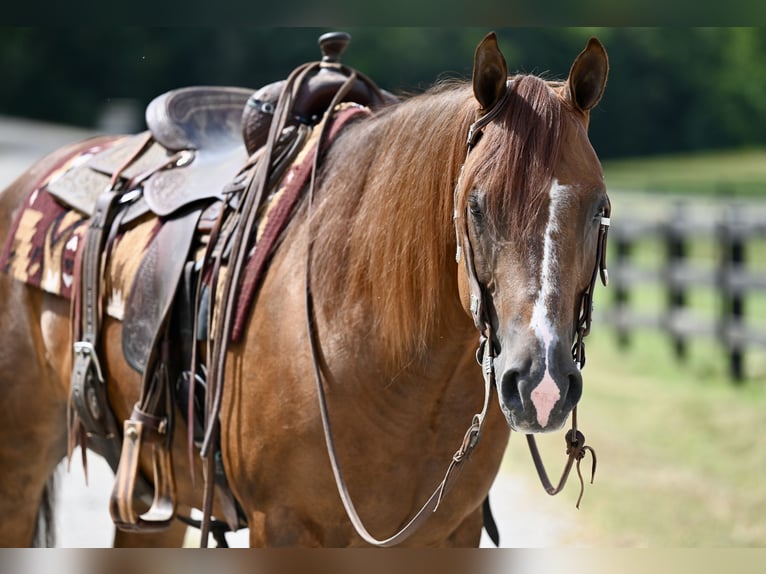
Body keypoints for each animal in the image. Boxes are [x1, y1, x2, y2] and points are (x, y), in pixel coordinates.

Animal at [0, 31, 609, 547]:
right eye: (477, 207)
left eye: (599, 209)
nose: (541, 383)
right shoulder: (283, 527)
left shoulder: (450, 536)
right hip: (20, 465)